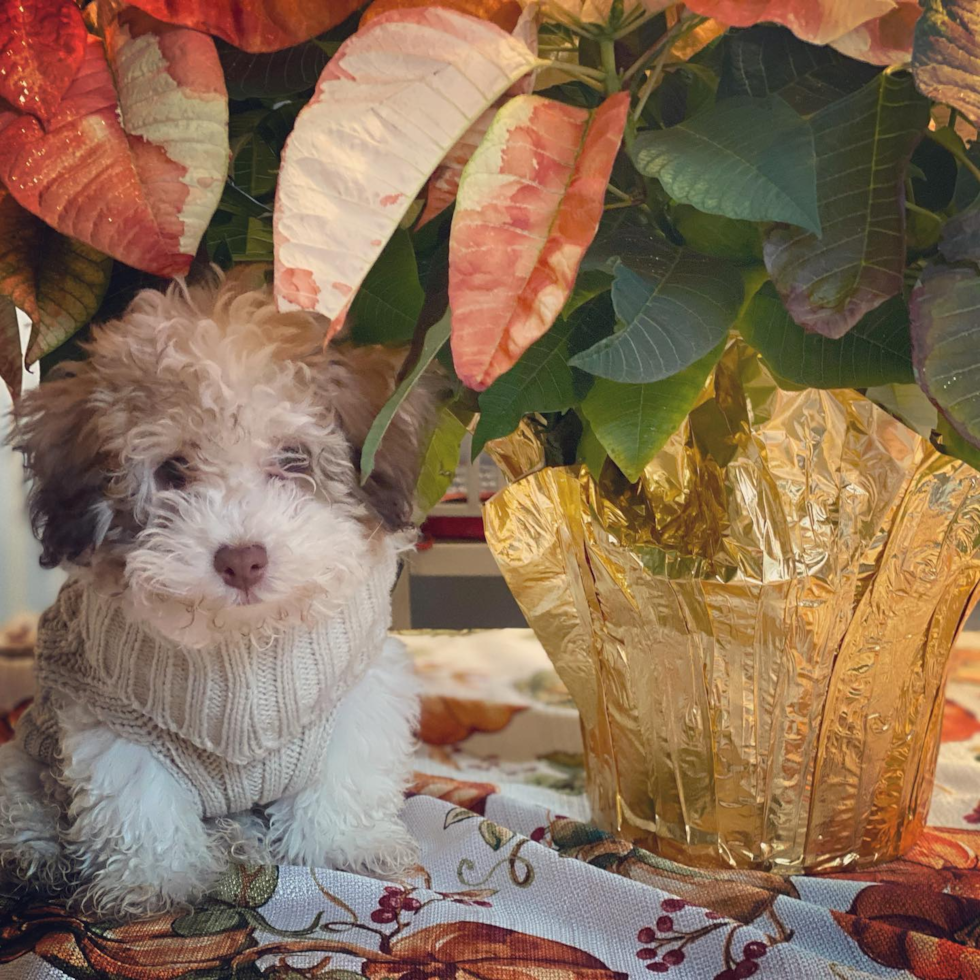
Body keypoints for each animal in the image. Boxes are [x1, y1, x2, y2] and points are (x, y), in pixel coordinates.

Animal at [0, 266, 432, 920]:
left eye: (293, 458)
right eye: (172, 471)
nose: (242, 560)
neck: (243, 646)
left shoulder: (359, 690)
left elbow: (344, 774)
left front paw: (344, 846)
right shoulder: (111, 717)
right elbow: (140, 800)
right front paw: (155, 879)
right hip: (27, 750)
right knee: (23, 795)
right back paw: (34, 854)